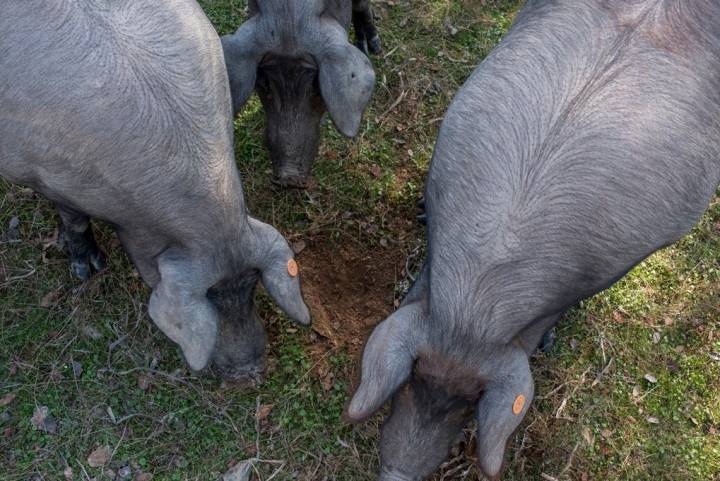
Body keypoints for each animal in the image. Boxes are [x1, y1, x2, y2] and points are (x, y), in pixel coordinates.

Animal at [0, 0, 310, 382]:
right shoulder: (49, 173)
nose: (248, 370)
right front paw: (89, 269)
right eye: (212, 297)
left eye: (251, 286)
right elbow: (73, 218)